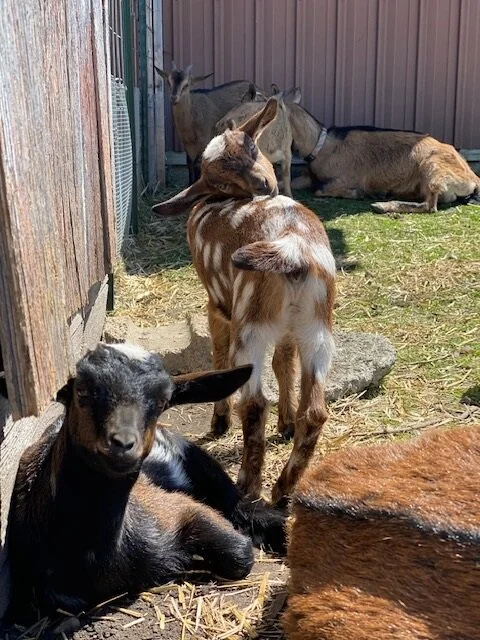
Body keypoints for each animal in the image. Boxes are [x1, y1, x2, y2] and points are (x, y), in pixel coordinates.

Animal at [6, 343, 286, 622]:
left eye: (163, 401)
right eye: (81, 390)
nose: (122, 443)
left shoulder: (179, 509)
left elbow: (239, 553)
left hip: (199, 461)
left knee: (243, 506)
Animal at [152, 98, 336, 505]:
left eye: (251, 146)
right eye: (220, 178)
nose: (265, 185)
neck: (213, 199)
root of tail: (291, 250)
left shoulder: (217, 306)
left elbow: (218, 358)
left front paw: (218, 423)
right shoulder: (287, 330)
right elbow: (284, 363)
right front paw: (285, 423)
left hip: (249, 322)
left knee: (252, 401)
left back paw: (248, 486)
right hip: (318, 326)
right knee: (315, 410)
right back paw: (282, 489)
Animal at [288, 103, 480, 213]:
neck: (323, 145)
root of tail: (473, 178)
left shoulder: (347, 179)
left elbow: (319, 190)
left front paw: (358, 194)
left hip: (432, 169)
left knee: (430, 206)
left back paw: (381, 205)